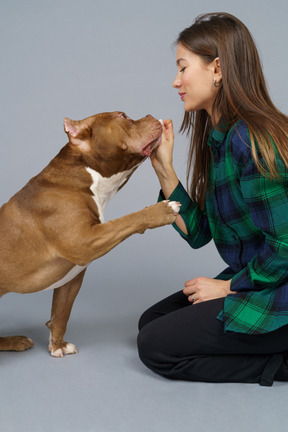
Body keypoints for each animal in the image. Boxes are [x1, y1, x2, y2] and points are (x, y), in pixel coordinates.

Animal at [0, 111, 180, 358]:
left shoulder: (71, 279)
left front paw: (57, 345)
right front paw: (161, 210)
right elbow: (127, 220)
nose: (151, 115)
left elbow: (61, 314)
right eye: (123, 116)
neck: (85, 175)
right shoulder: (84, 242)